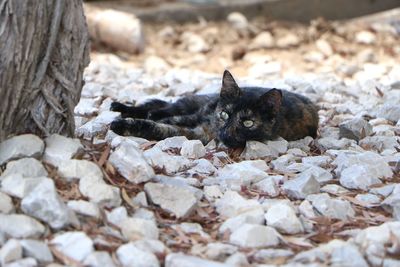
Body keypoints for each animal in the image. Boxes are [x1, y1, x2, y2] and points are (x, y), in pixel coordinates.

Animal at [109, 70, 318, 148]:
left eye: (248, 123)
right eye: (225, 114)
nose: (225, 132)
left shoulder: (198, 133)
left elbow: (159, 127)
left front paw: (121, 125)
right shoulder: (203, 119)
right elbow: (168, 119)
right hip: (192, 105)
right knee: (164, 107)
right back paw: (121, 106)